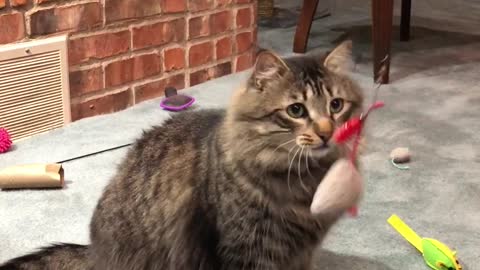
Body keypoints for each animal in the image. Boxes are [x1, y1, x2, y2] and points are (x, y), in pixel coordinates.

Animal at [0, 40, 364, 270]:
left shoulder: (302, 253)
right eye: (296, 110)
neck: (302, 182)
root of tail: (94, 251)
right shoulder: (244, 250)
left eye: (336, 105)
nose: (327, 132)